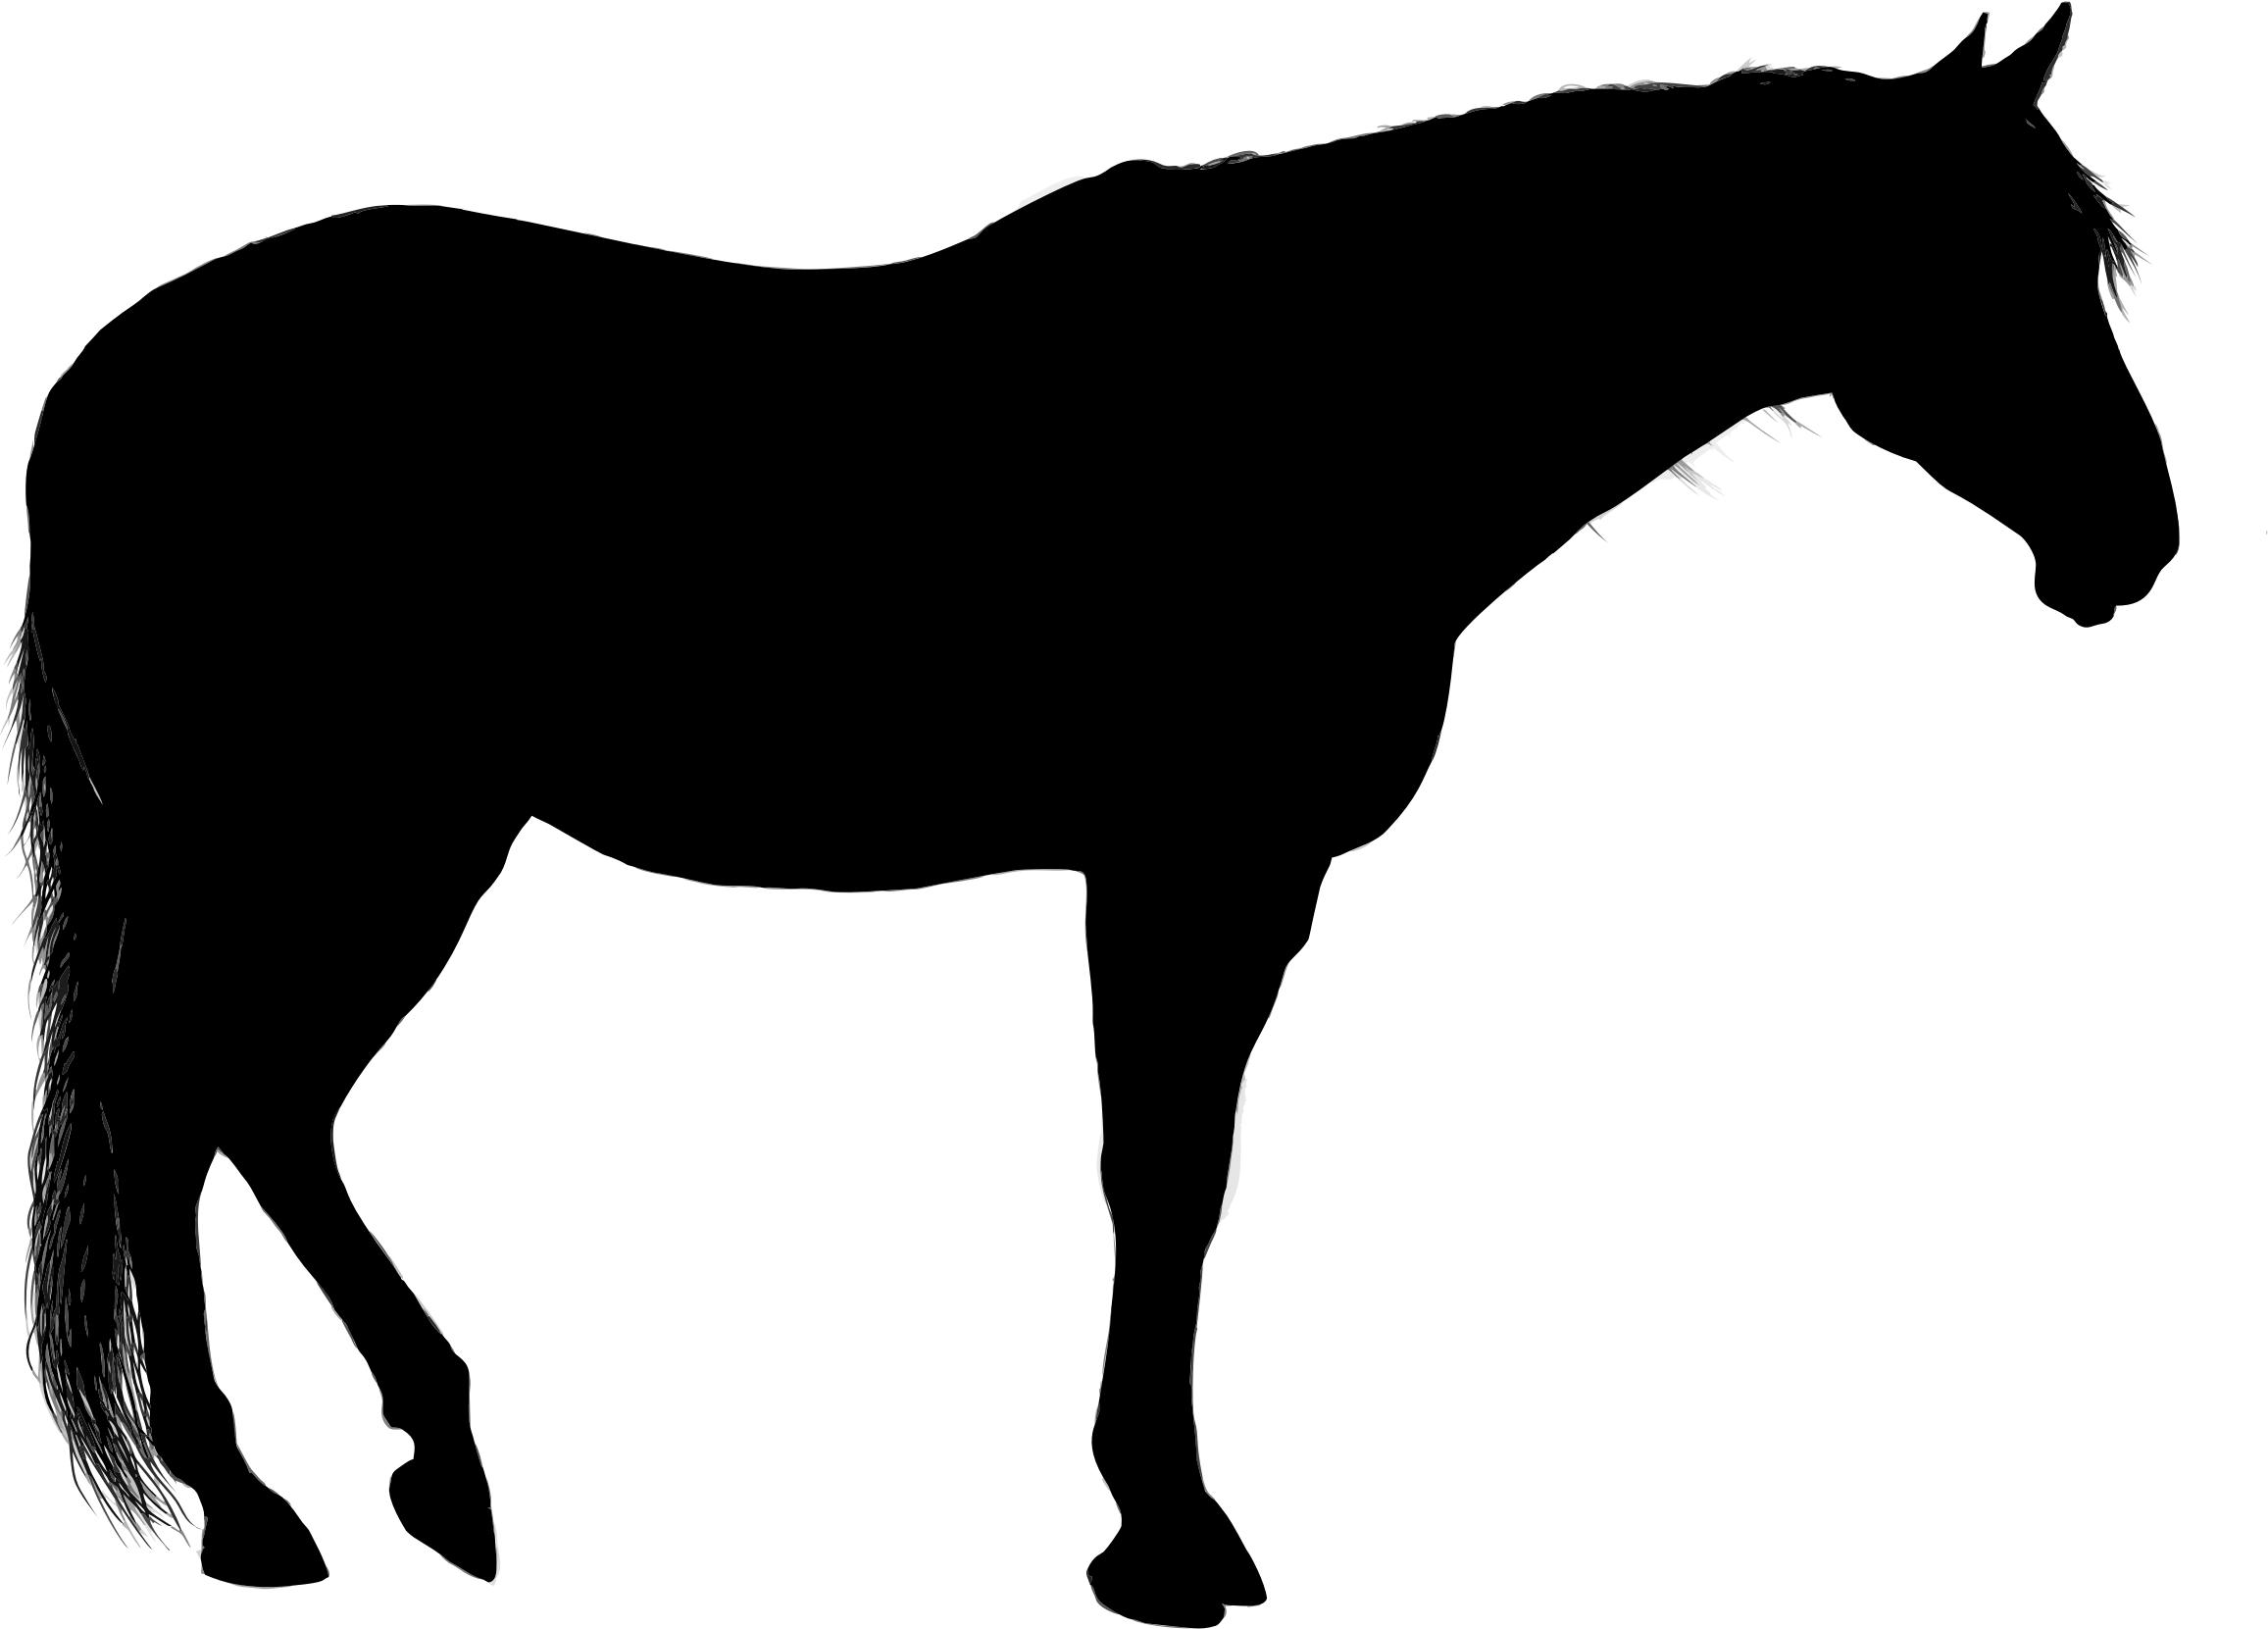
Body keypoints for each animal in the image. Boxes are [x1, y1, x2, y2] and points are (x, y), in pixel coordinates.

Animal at [13, 7, 2173, 1624]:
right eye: (1977, 260)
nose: (2134, 542)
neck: (1326, 401)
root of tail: (105, 383)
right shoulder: (1191, 872)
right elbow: (1167, 1177)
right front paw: (1167, 1533)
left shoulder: (1207, 883)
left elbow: (1174, 1177)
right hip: (331, 840)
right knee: (184, 1096)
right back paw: (251, 1500)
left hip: (382, 843)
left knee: (250, 1103)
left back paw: (422, 1461)